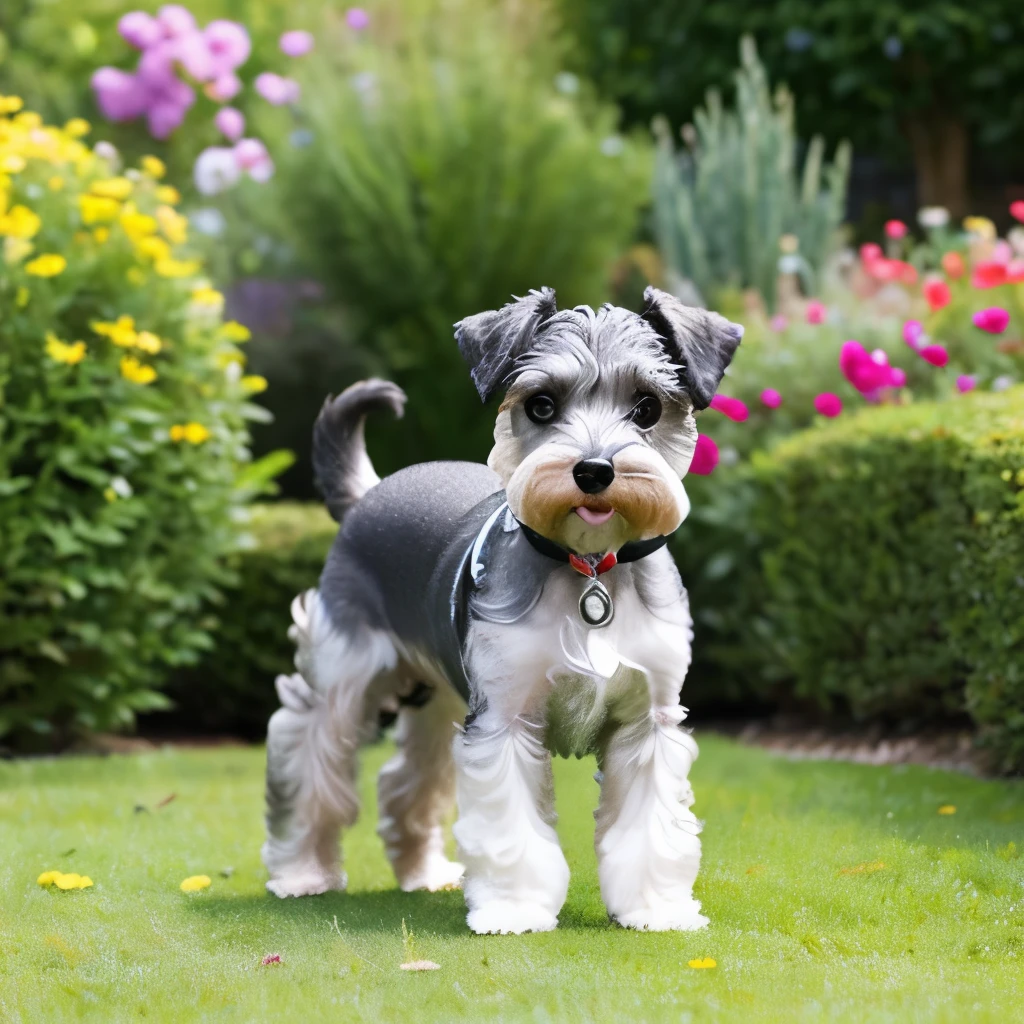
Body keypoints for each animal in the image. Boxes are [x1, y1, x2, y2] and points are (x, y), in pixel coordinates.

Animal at [262, 284, 745, 933]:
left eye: (646, 407)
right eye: (542, 405)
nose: (595, 470)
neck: (588, 568)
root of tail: (369, 493)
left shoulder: (647, 722)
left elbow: (649, 827)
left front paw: (655, 906)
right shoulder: (505, 718)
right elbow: (512, 828)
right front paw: (514, 908)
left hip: (440, 700)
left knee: (406, 780)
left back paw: (422, 872)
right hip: (343, 683)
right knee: (308, 758)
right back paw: (302, 872)